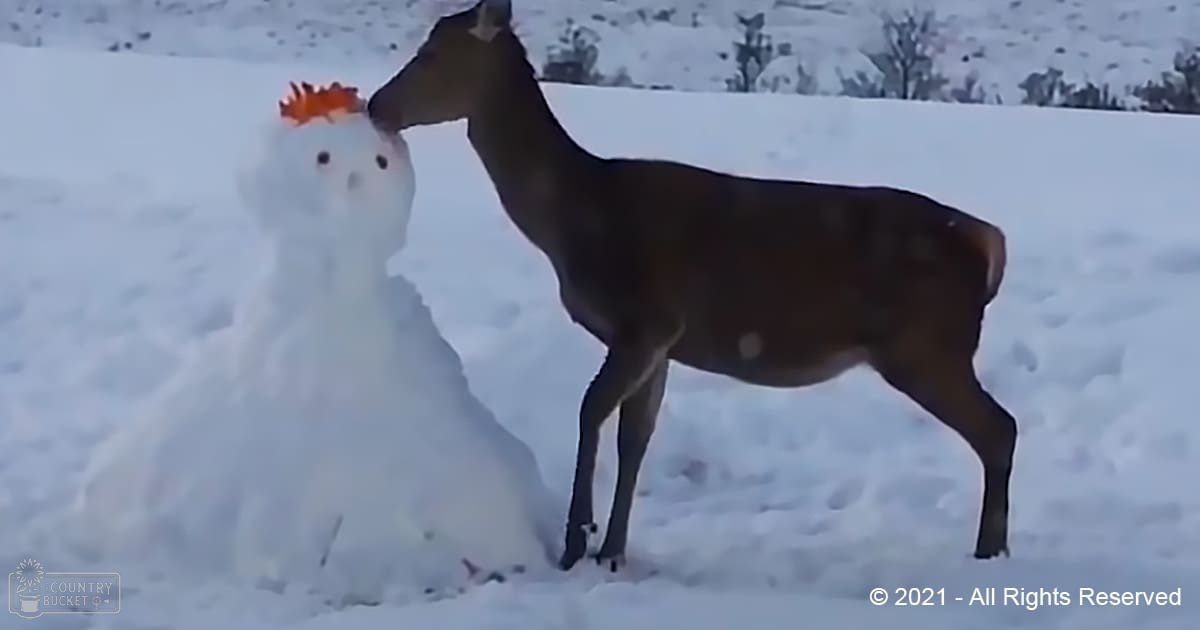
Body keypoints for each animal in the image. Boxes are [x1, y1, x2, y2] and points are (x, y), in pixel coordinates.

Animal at [366, 0, 1018, 573]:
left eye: (433, 52)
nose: (376, 105)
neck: (575, 220)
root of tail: (988, 243)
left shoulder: (645, 318)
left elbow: (591, 411)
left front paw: (577, 541)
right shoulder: (663, 342)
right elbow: (635, 437)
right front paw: (613, 552)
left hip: (926, 347)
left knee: (999, 429)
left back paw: (989, 554)